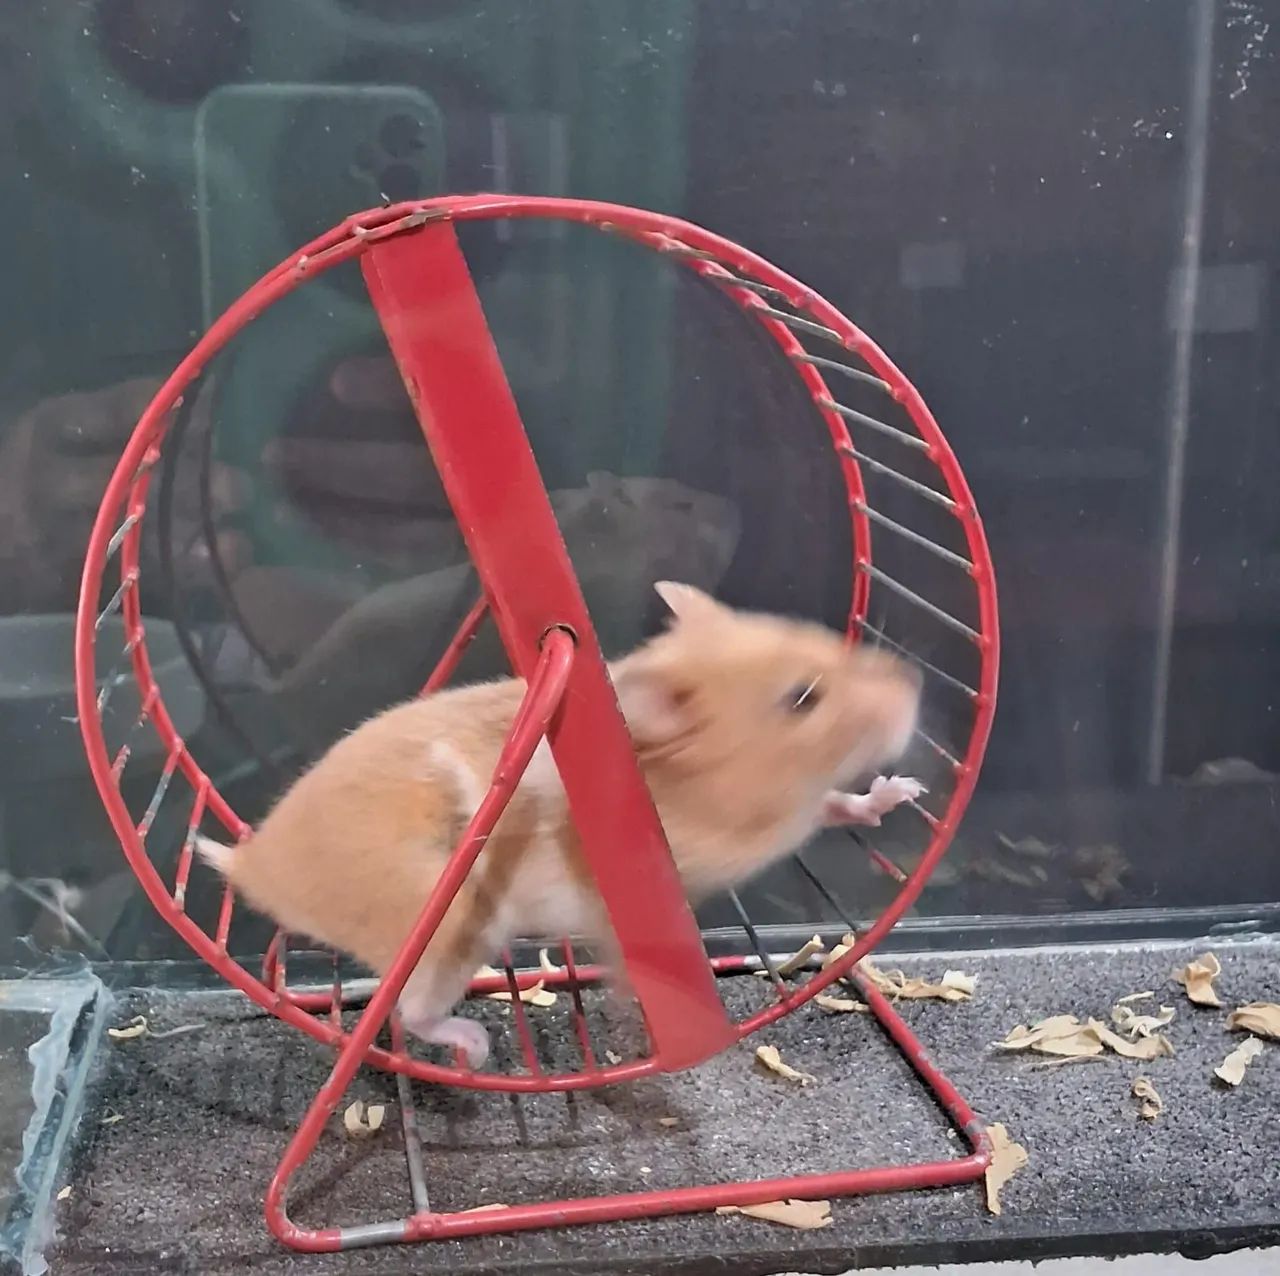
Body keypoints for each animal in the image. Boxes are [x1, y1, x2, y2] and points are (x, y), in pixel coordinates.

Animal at [198, 581, 924, 1067]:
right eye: (803, 698)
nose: (915, 686)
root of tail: (253, 865)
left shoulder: (802, 807)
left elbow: (837, 803)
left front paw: (900, 792)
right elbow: (637, 957)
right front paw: (641, 1017)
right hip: (448, 932)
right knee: (411, 1011)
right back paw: (476, 1046)